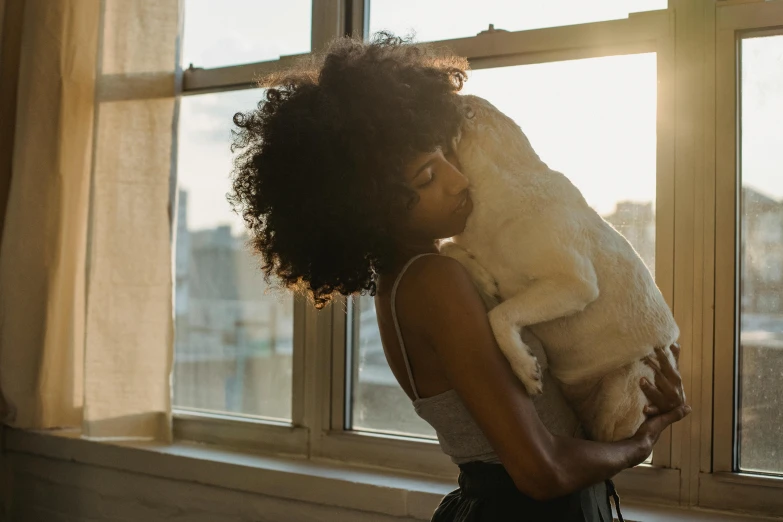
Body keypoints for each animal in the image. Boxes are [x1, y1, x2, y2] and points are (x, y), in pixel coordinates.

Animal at [444, 93, 684, 438]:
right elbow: (449, 249)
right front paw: (482, 277)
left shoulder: (574, 284)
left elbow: (500, 314)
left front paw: (524, 369)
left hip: (627, 383)